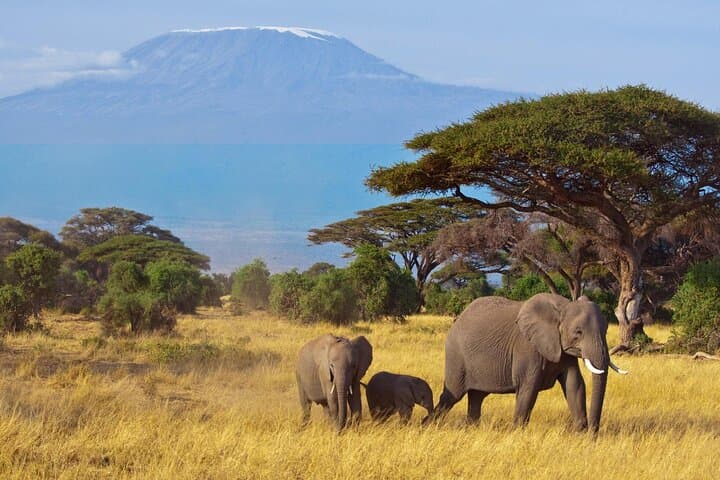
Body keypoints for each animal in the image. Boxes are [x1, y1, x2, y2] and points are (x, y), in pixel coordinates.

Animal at [427, 293, 627, 432]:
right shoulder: (527, 347)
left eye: (606, 330)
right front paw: (517, 433)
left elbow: (574, 385)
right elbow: (528, 387)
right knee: (451, 396)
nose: (593, 432)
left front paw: (580, 434)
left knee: (476, 397)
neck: (562, 307)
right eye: (578, 332)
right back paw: (427, 425)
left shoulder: (563, 351)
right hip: (456, 356)